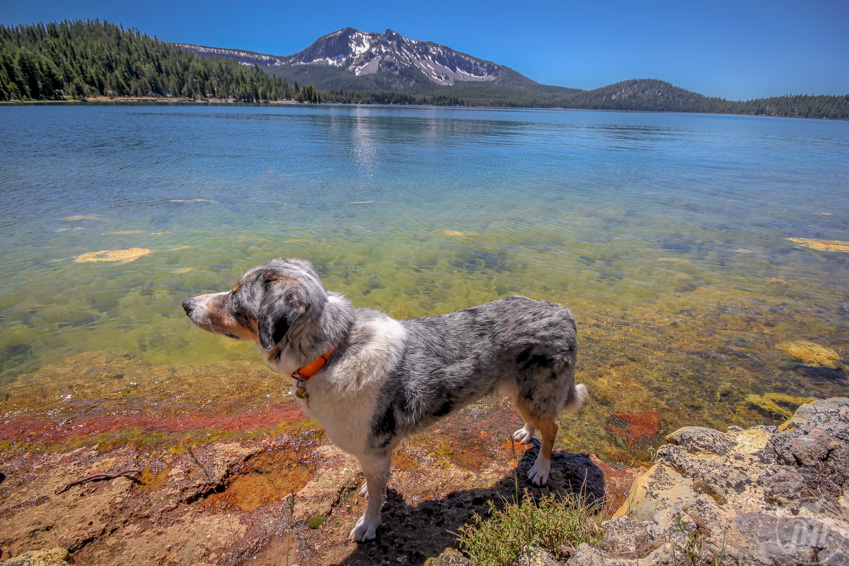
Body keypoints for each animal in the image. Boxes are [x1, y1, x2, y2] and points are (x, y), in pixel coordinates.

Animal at [182, 260, 588, 544]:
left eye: (235, 297)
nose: (186, 304)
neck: (333, 351)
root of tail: (563, 311)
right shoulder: (378, 452)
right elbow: (375, 483)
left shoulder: (374, 448)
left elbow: (375, 498)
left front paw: (368, 524)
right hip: (522, 393)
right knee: (537, 421)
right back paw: (524, 433)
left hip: (537, 393)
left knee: (553, 428)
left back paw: (541, 469)